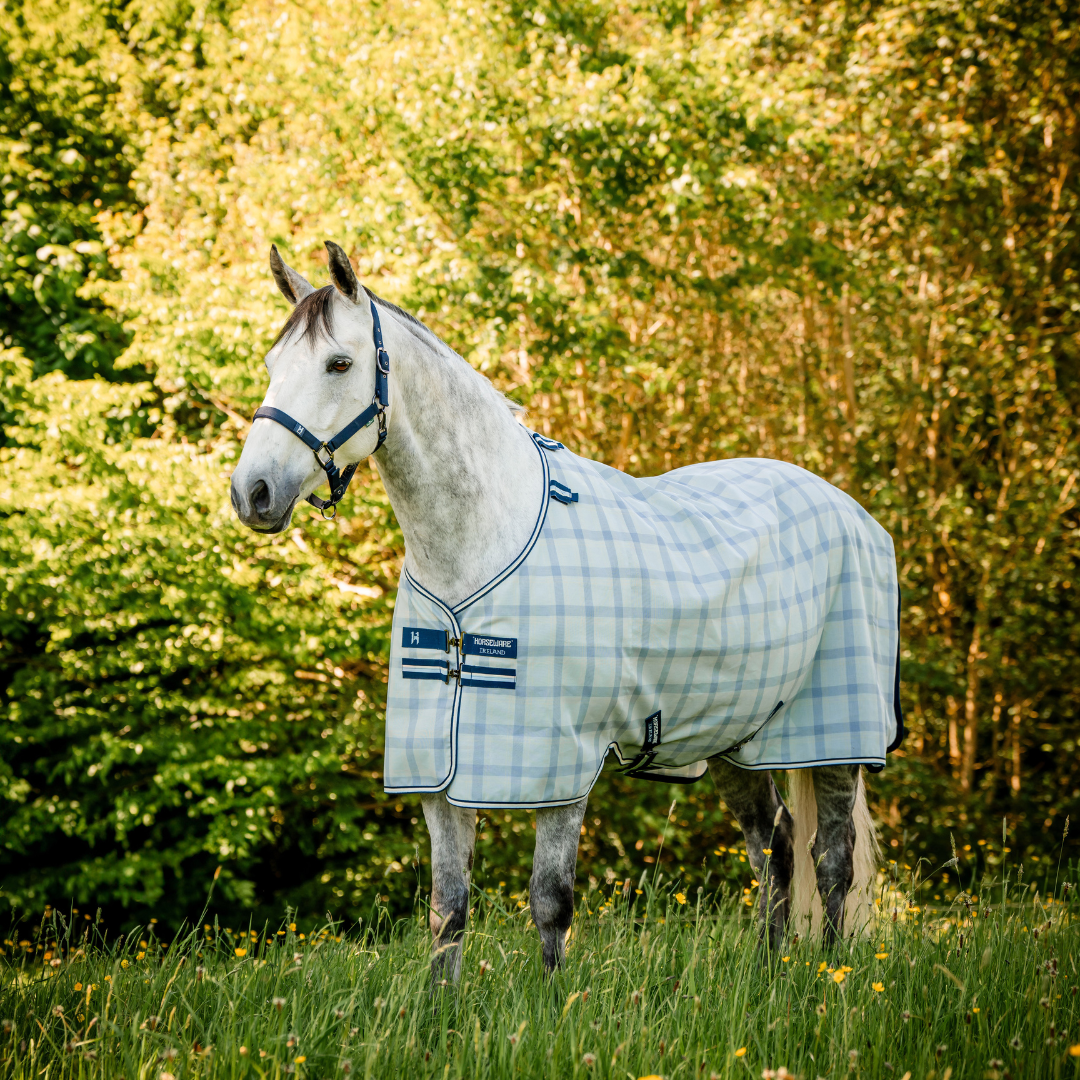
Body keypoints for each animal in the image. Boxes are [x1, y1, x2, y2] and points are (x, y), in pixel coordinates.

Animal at [230, 241, 898, 979]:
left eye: (339, 364)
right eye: (273, 365)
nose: (253, 492)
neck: (480, 544)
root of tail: (848, 508)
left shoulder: (560, 768)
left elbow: (550, 904)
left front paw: (552, 1006)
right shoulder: (439, 776)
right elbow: (447, 910)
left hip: (835, 738)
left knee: (831, 861)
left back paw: (828, 978)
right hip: (733, 733)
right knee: (774, 847)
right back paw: (766, 975)